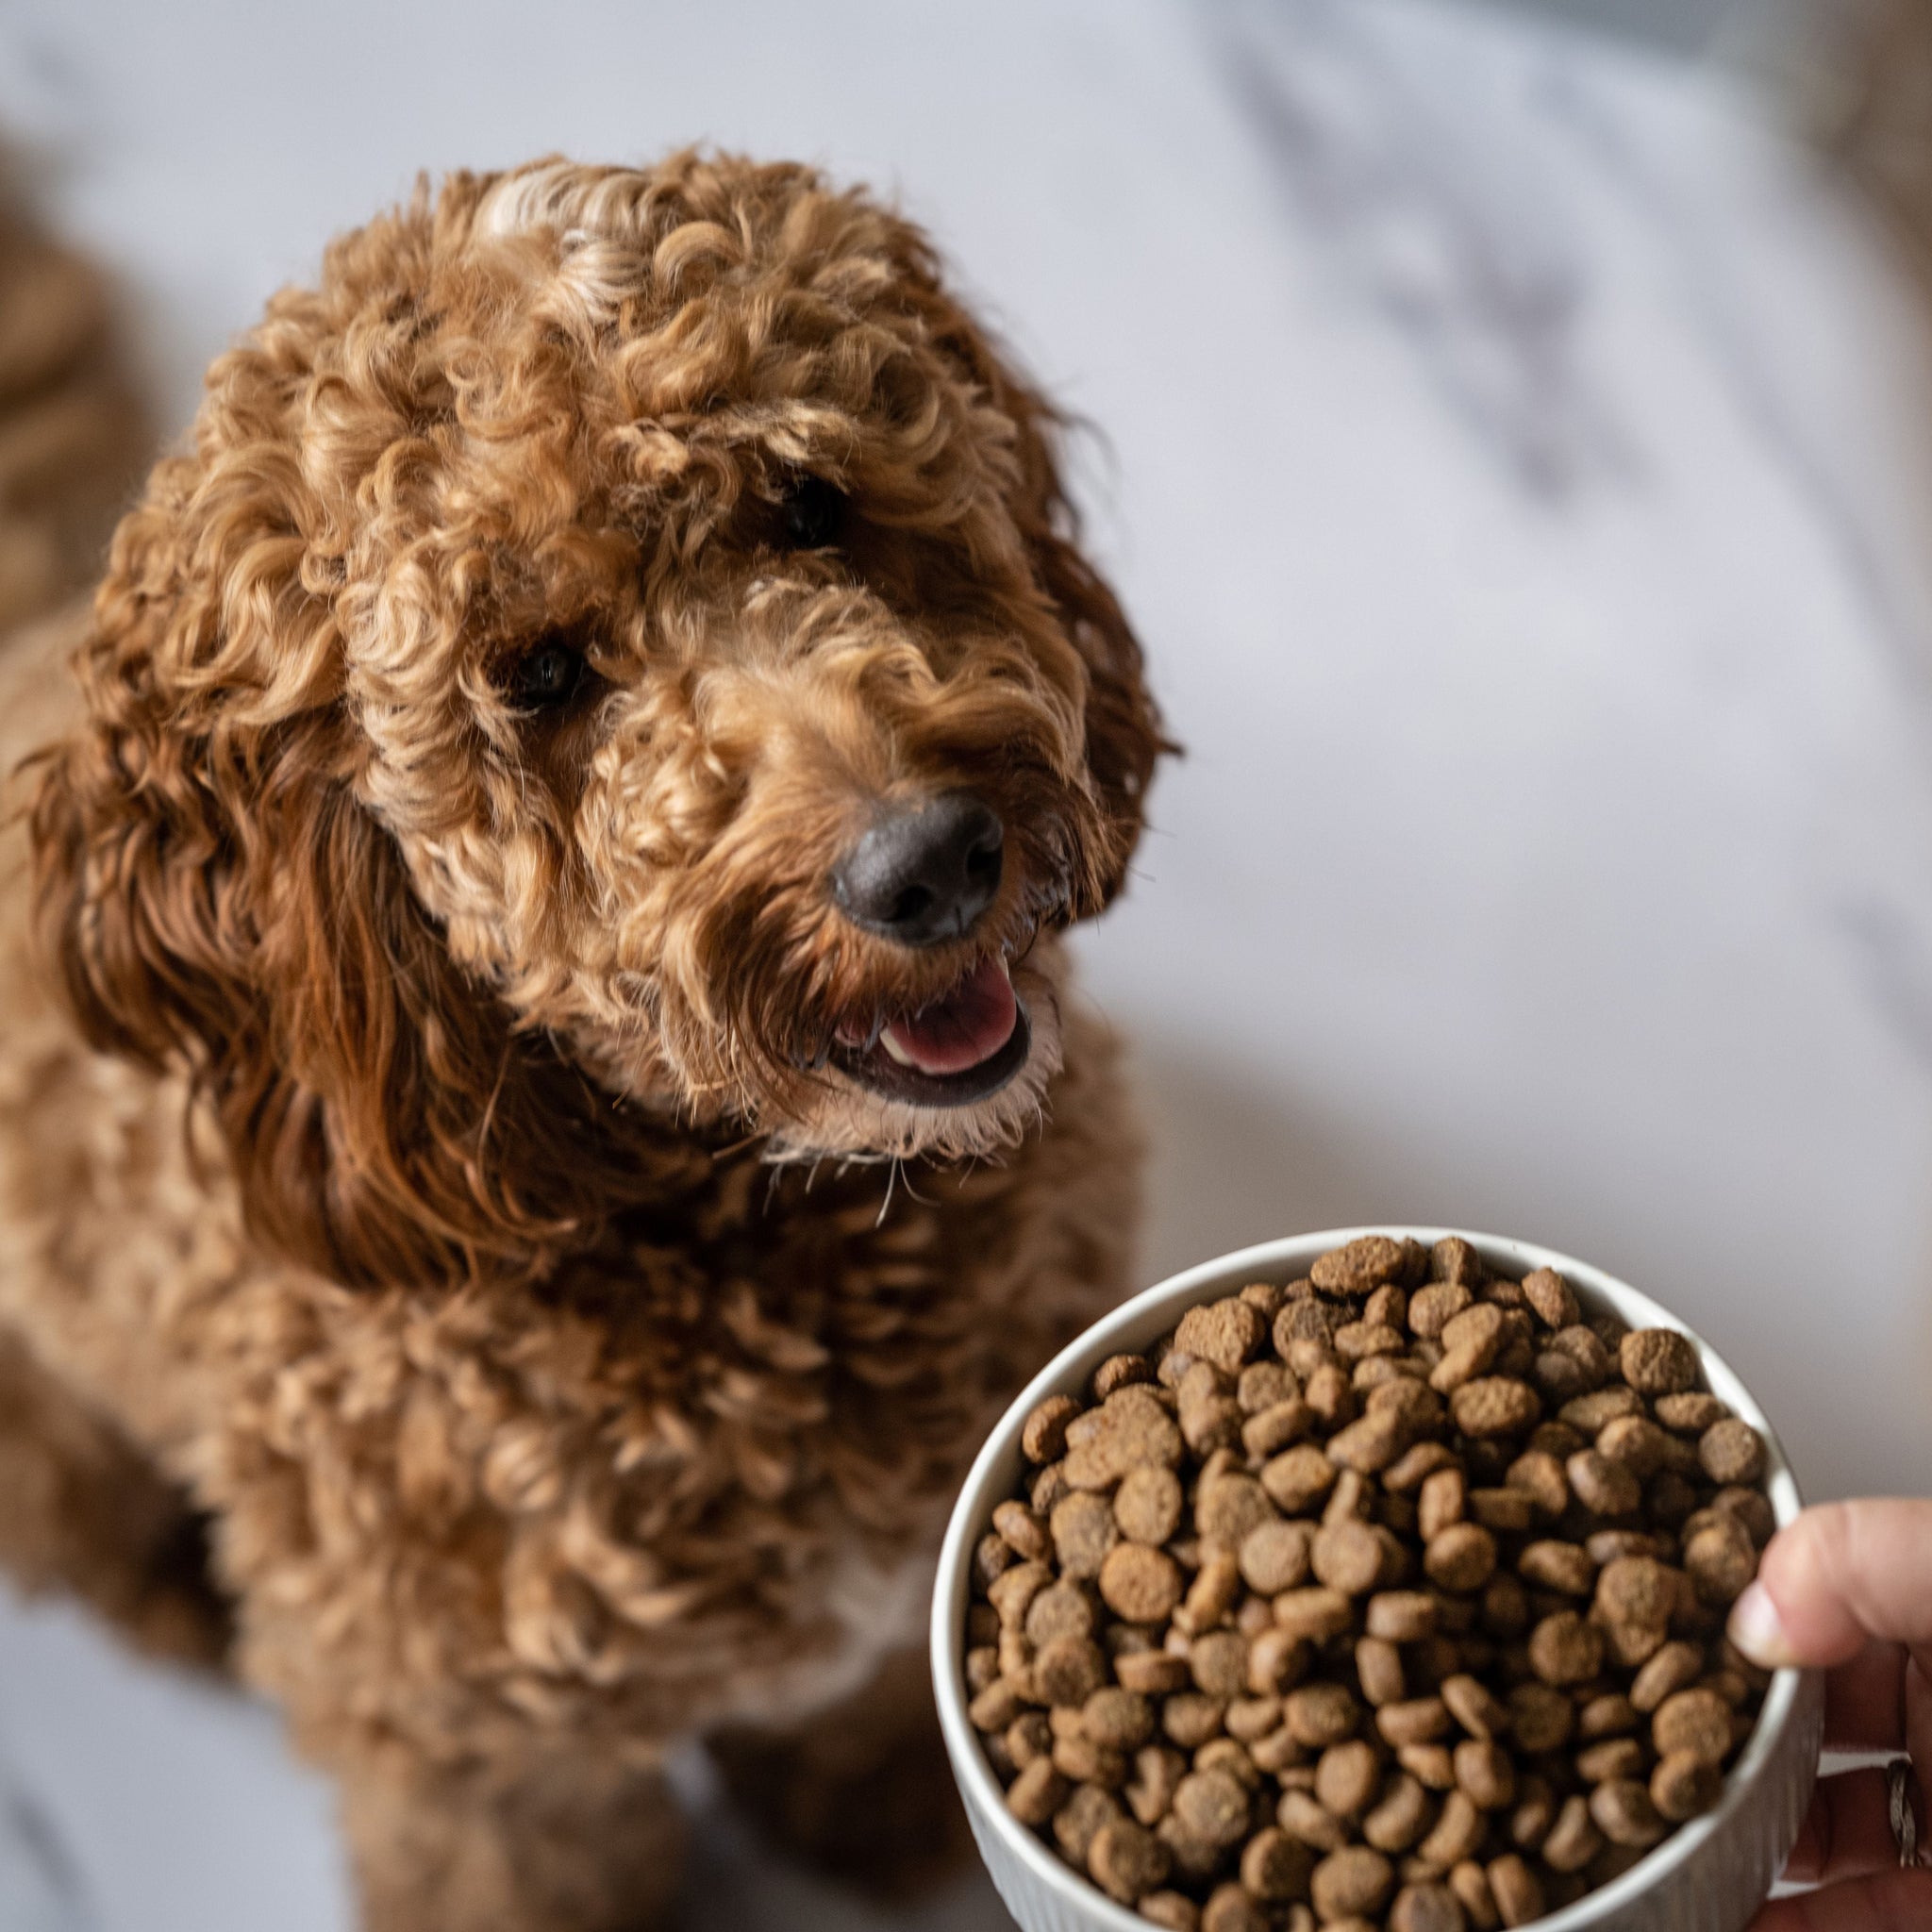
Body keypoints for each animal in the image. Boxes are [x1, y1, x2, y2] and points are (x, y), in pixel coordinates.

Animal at [0, 154, 1158, 1932]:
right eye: (537, 673)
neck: (740, 1233)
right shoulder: (481, 1764)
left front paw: (892, 1809)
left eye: (808, 505)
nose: (931, 860)